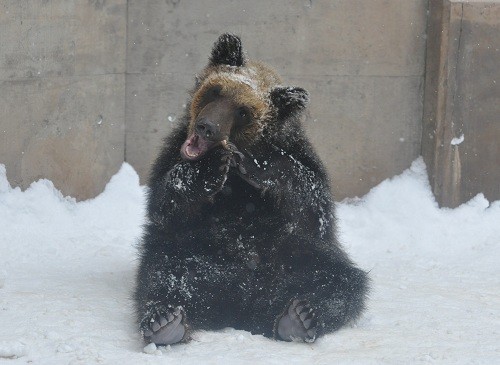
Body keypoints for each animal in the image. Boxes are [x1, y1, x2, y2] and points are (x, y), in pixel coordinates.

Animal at [135, 33, 370, 344]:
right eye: (216, 90)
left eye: (243, 112)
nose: (207, 127)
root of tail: (240, 307)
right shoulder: (172, 152)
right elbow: (165, 206)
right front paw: (208, 169)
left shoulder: (301, 155)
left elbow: (314, 211)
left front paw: (257, 162)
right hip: (194, 251)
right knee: (164, 273)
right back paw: (165, 320)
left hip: (292, 257)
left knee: (339, 280)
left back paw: (301, 317)